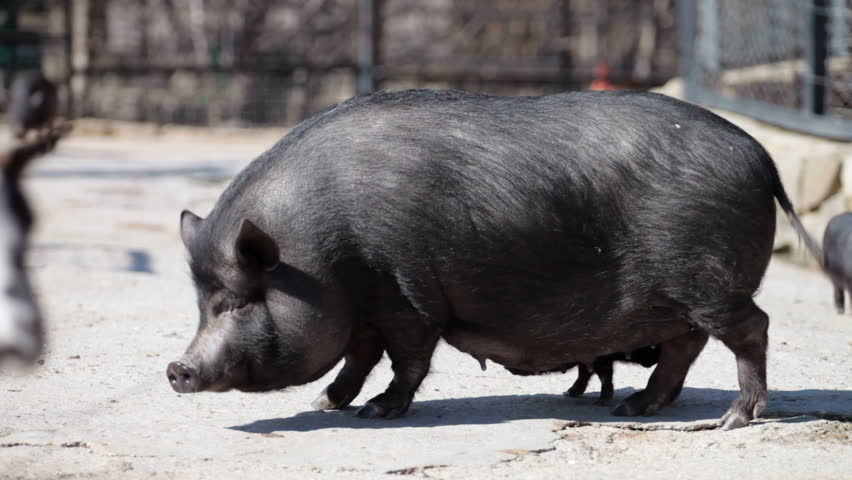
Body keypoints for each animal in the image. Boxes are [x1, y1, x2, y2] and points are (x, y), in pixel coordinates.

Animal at [169, 89, 820, 430]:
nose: (177, 369)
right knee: (686, 344)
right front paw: (325, 403)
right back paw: (637, 405)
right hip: (676, 297)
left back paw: (735, 418)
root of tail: (759, 155)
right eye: (201, 303)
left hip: (708, 280)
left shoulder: (405, 296)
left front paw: (377, 412)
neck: (322, 262)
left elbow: (405, 358)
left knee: (751, 328)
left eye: (238, 301)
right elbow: (359, 356)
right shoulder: (370, 306)